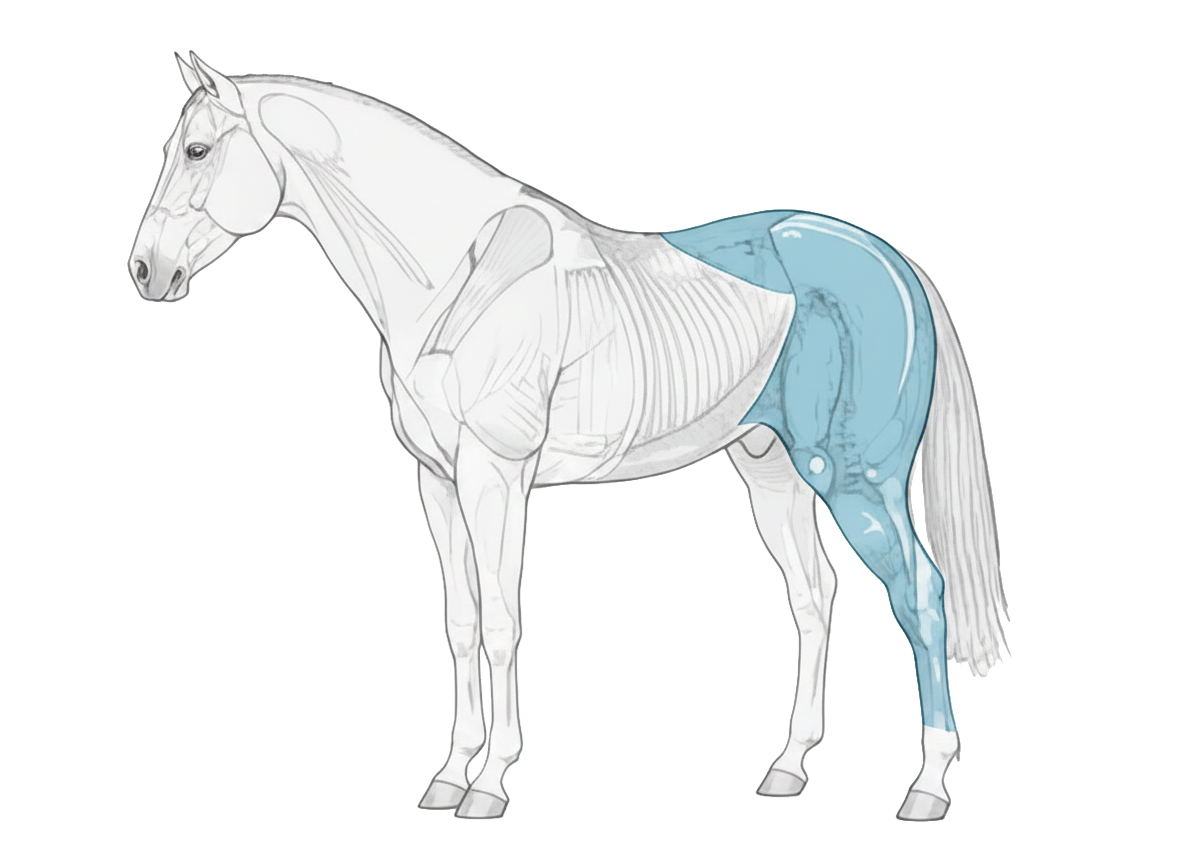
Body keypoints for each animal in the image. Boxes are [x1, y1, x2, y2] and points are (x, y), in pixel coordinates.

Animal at [128, 52, 1008, 821]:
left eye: (197, 149)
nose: (145, 271)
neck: (459, 278)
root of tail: (895, 262)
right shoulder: (437, 481)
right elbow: (459, 624)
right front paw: (447, 776)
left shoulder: (496, 475)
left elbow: (503, 621)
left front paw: (490, 785)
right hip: (773, 472)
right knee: (813, 597)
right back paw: (787, 767)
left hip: (856, 480)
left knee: (920, 596)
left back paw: (927, 786)